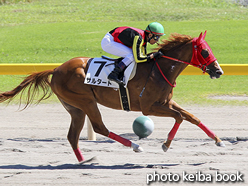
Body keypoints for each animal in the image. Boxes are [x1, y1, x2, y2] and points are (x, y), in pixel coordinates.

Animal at [0, 31, 225, 162]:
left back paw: (84, 161)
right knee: (99, 127)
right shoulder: (149, 107)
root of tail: (56, 69)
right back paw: (135, 146)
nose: (218, 71)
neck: (160, 68)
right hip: (86, 101)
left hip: (74, 107)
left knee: (73, 136)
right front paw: (166, 144)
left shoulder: (166, 102)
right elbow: (179, 117)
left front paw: (218, 140)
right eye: (205, 51)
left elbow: (191, 117)